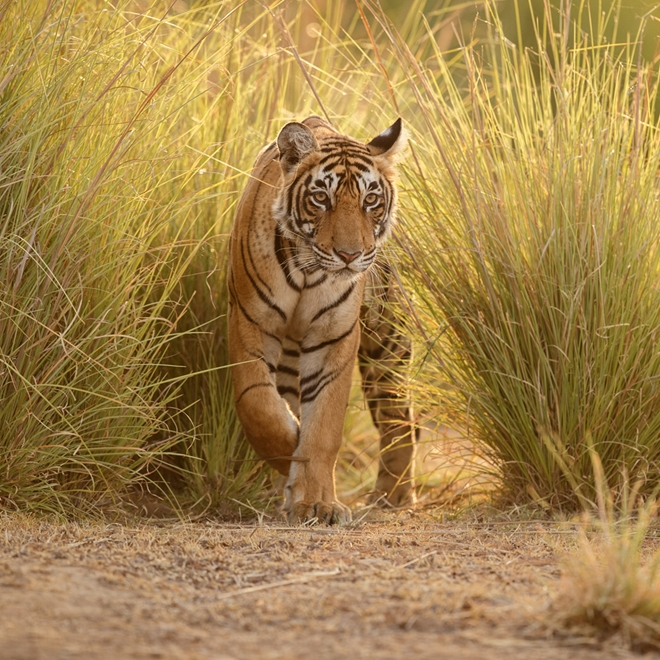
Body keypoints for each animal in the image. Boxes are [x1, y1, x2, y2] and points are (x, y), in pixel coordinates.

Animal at [227, 115, 414, 524]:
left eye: (370, 200)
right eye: (320, 198)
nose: (350, 255)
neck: (308, 271)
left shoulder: (333, 337)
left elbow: (324, 425)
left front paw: (316, 502)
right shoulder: (251, 323)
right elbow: (260, 408)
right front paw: (291, 457)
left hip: (388, 344)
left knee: (400, 418)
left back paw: (392, 496)